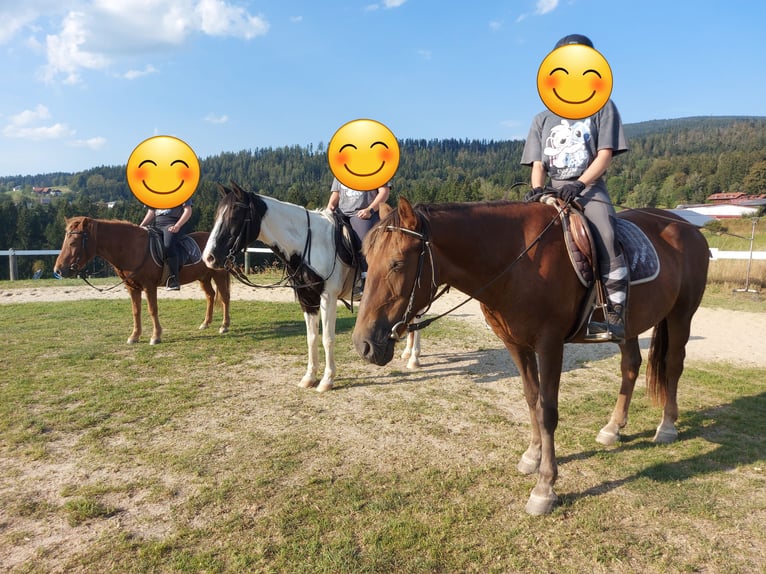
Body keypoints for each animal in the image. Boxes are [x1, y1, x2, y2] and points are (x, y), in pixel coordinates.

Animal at [54, 218, 231, 346]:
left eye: (73, 243)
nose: (59, 270)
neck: (132, 248)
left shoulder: (149, 286)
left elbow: (152, 310)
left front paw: (156, 336)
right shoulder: (132, 288)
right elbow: (136, 311)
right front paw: (134, 336)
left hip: (219, 275)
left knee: (224, 297)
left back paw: (224, 326)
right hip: (204, 277)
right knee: (210, 295)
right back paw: (206, 323)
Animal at [201, 182, 424, 394]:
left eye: (234, 215)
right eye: (217, 215)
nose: (208, 258)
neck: (308, 245)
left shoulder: (328, 298)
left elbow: (327, 338)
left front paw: (327, 380)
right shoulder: (307, 299)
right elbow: (311, 338)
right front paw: (309, 377)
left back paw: (414, 358)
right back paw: (407, 353)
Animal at [354, 199, 712, 516]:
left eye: (398, 263)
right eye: (367, 260)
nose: (363, 344)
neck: (517, 261)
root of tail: (688, 228)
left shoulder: (549, 345)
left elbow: (547, 411)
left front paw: (545, 487)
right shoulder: (517, 345)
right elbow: (531, 399)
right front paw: (533, 456)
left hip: (682, 314)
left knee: (673, 365)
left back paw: (667, 426)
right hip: (628, 325)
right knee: (630, 366)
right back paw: (613, 427)